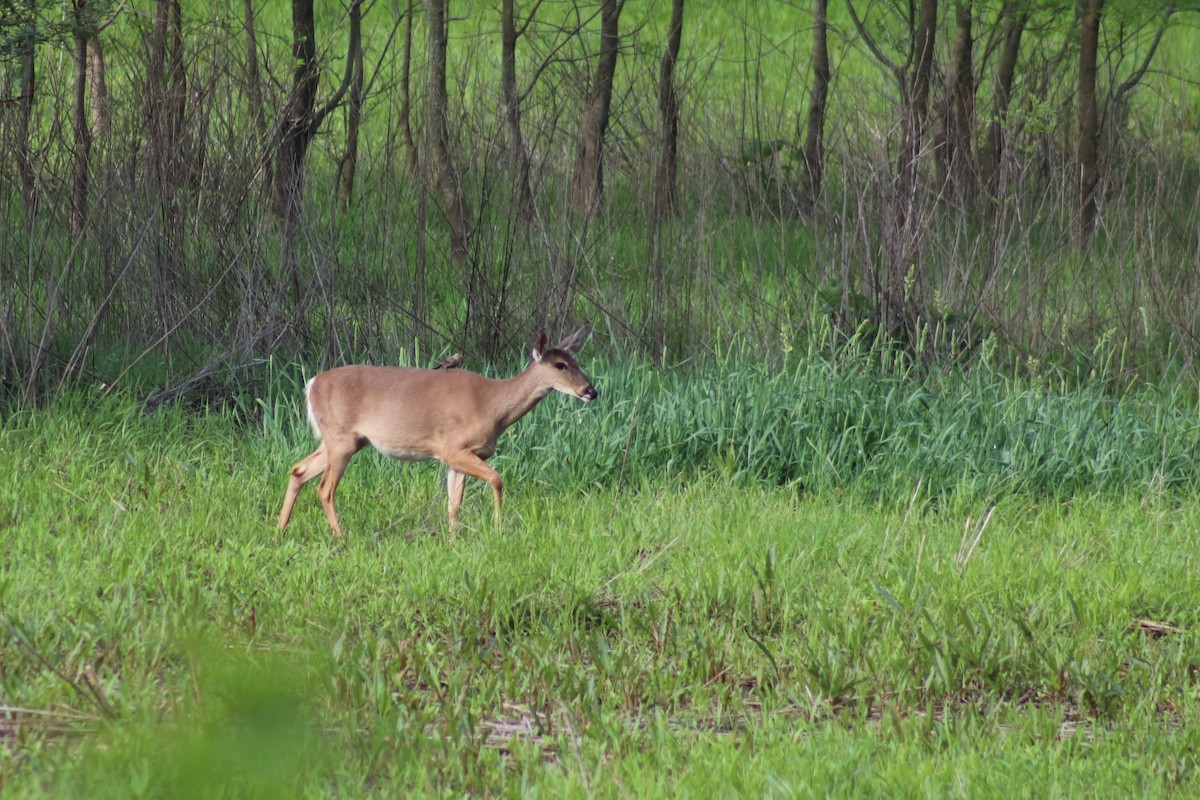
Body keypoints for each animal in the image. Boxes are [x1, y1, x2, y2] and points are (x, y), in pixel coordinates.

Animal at [280, 328, 600, 542]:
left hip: (343, 440)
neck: (492, 406)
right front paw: (498, 530)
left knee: (298, 469)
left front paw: (453, 541)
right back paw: (341, 538)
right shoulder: (453, 448)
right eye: (560, 365)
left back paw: (279, 530)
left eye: (578, 361)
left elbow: (453, 504)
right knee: (325, 489)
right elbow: (497, 479)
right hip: (341, 438)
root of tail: (312, 383)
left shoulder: (456, 458)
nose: (591, 391)